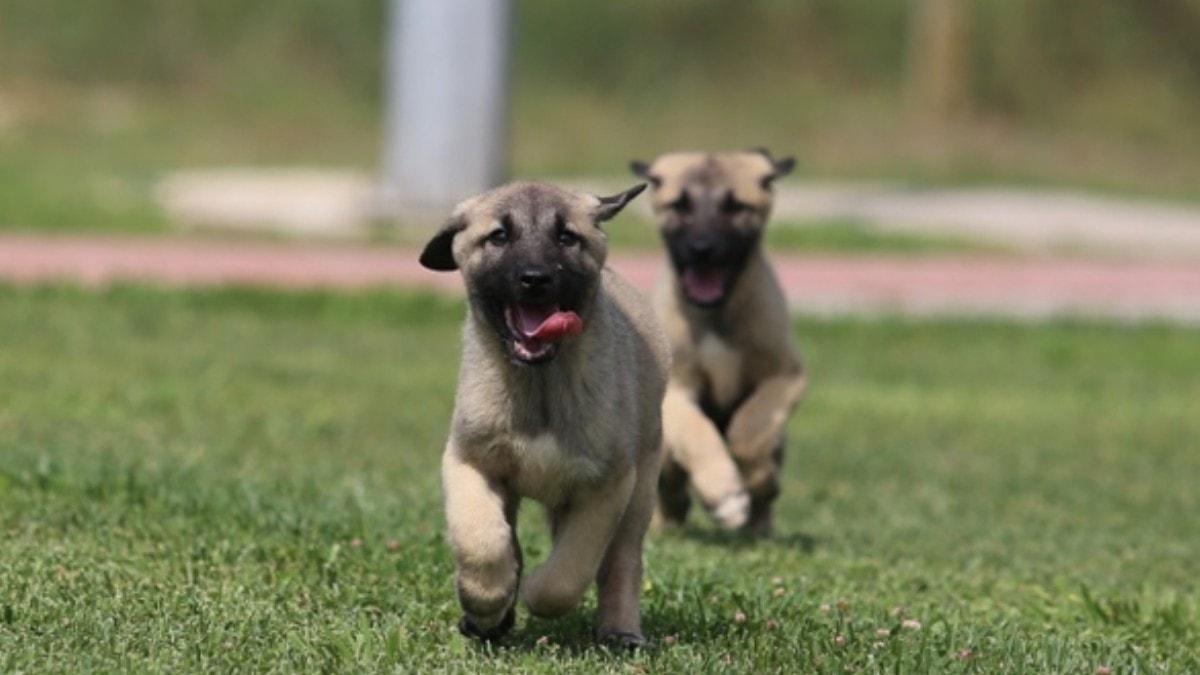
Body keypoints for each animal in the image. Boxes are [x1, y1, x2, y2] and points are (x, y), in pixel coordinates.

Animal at [420, 181, 667, 643]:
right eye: (499, 236)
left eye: (567, 237)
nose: (535, 279)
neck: (540, 385)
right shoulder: (470, 463)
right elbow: (482, 542)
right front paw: (485, 602)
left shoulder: (607, 486)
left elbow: (568, 573)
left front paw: (533, 590)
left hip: (641, 488)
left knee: (622, 562)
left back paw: (621, 631)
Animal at [628, 149, 806, 533]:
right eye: (679, 205)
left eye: (735, 206)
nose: (702, 250)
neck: (715, 314)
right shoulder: (676, 388)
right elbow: (698, 432)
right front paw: (724, 495)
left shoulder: (785, 376)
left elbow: (750, 429)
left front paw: (756, 480)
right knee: (669, 476)